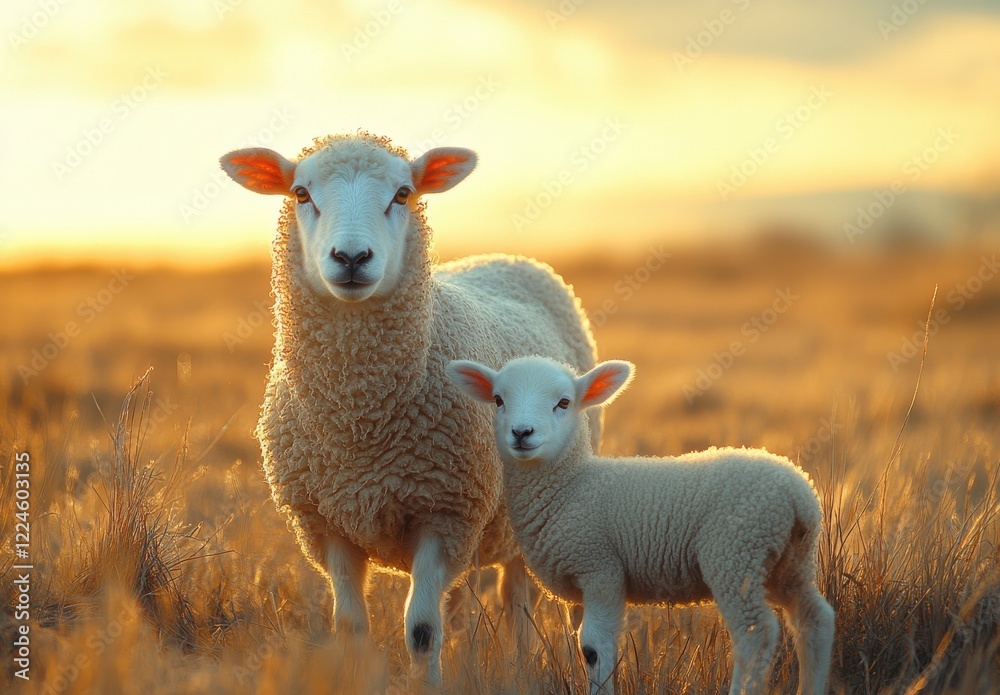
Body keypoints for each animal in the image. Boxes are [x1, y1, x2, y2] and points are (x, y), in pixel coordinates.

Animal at [218, 132, 601, 686]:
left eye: (402, 194)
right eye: (300, 193)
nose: (351, 256)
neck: (359, 423)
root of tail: (508, 257)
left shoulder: (443, 514)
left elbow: (421, 629)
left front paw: (429, 683)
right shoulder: (326, 523)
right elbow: (351, 625)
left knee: (517, 598)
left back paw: (521, 664)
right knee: (474, 599)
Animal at [447, 355, 835, 695]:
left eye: (563, 402)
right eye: (498, 400)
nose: (521, 432)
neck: (572, 484)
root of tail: (798, 494)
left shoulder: (600, 568)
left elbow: (594, 647)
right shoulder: (584, 580)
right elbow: (584, 644)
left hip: (735, 554)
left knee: (756, 634)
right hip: (788, 563)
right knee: (814, 621)